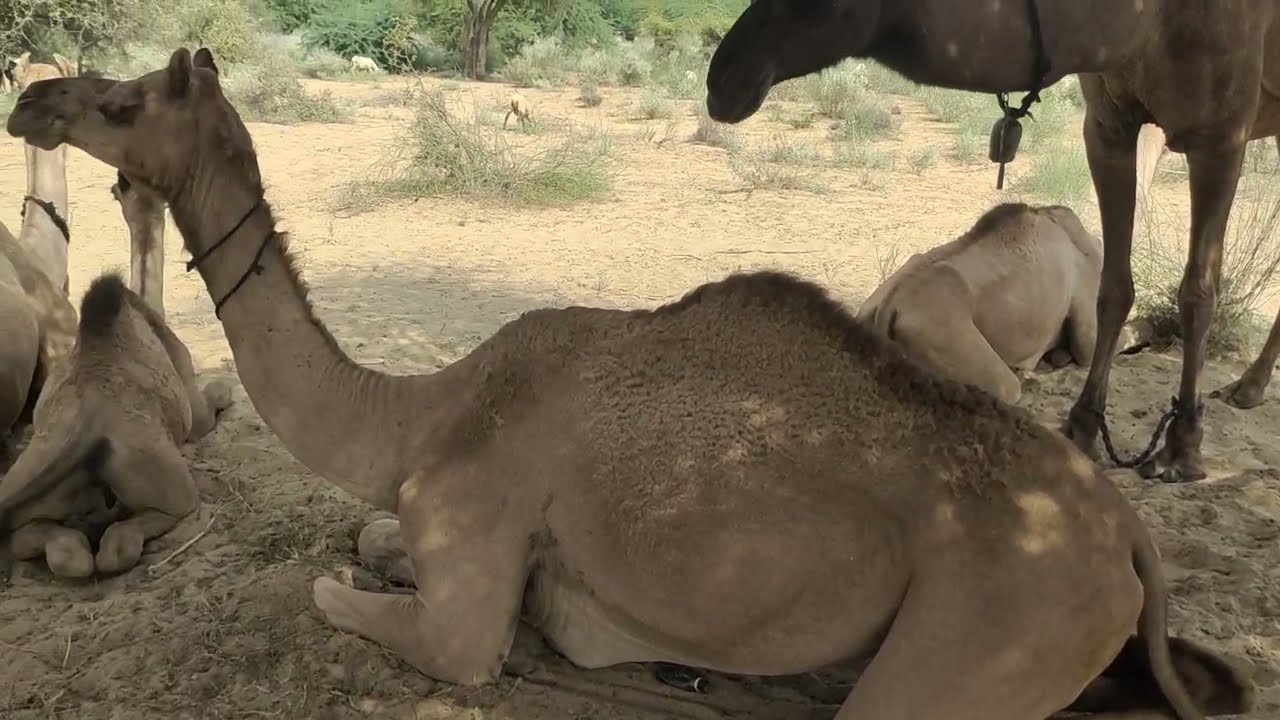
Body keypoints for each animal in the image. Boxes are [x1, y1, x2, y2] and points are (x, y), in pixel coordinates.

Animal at [0, 172, 233, 578]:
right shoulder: (193, 405)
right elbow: (212, 401)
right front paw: (226, 387)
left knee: (55, 547)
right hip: (169, 483)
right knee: (120, 544)